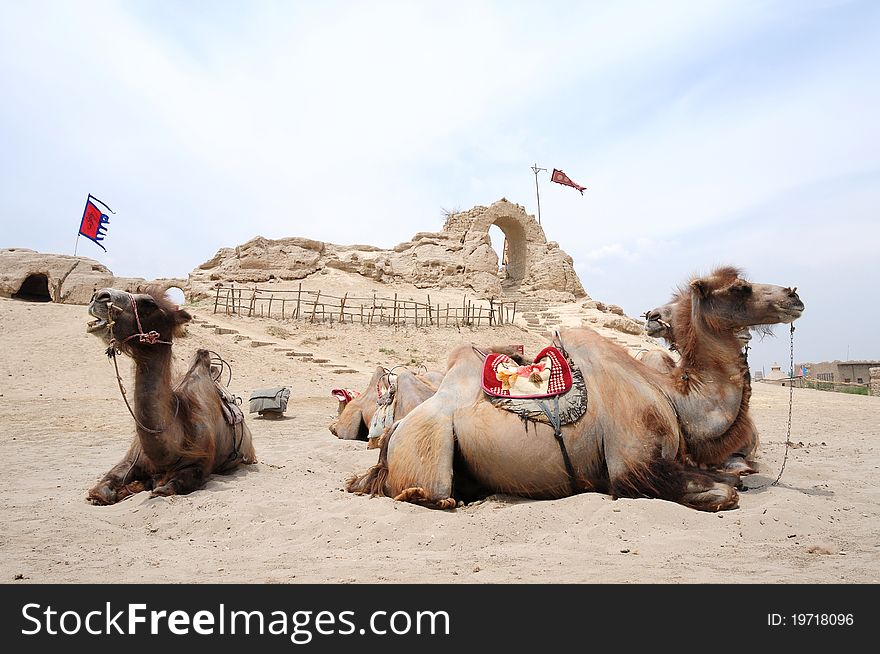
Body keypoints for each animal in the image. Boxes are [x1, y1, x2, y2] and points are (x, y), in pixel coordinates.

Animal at [84, 288, 256, 508]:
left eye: (149, 303)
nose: (100, 296)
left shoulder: (200, 464)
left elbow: (164, 489)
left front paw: (147, 485)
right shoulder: (131, 460)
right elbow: (101, 491)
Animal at [348, 270, 804, 516]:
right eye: (740, 287)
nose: (794, 294)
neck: (672, 396)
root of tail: (391, 437)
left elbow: (733, 478)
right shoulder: (633, 468)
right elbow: (726, 492)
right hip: (427, 447)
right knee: (432, 494)